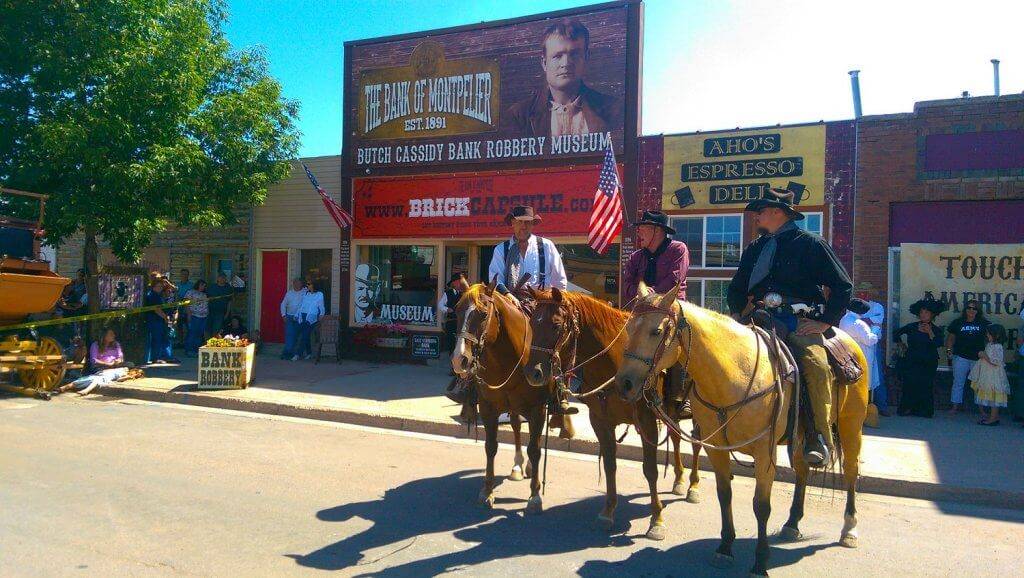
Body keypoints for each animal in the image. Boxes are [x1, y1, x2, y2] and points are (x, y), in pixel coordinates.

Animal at [452, 282, 561, 512]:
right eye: (456, 310)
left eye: (483, 314)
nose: (459, 359)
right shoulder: (488, 408)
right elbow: (491, 446)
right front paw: (487, 491)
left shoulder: (538, 409)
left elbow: (535, 449)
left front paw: (535, 496)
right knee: (516, 426)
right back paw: (517, 465)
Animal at [524, 289, 700, 541]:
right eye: (532, 323)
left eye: (556, 325)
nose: (533, 373)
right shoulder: (600, 421)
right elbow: (609, 465)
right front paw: (607, 512)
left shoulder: (646, 421)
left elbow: (650, 470)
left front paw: (656, 520)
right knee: (676, 437)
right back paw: (678, 478)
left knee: (695, 443)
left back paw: (693, 486)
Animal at [610, 282, 868, 573]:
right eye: (628, 329)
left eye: (656, 331)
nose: (624, 384)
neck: (735, 376)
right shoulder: (716, 449)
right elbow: (724, 495)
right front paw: (725, 547)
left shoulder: (765, 452)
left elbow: (761, 506)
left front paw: (760, 560)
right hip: (801, 436)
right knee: (802, 469)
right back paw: (792, 523)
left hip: (851, 425)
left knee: (851, 472)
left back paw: (849, 529)